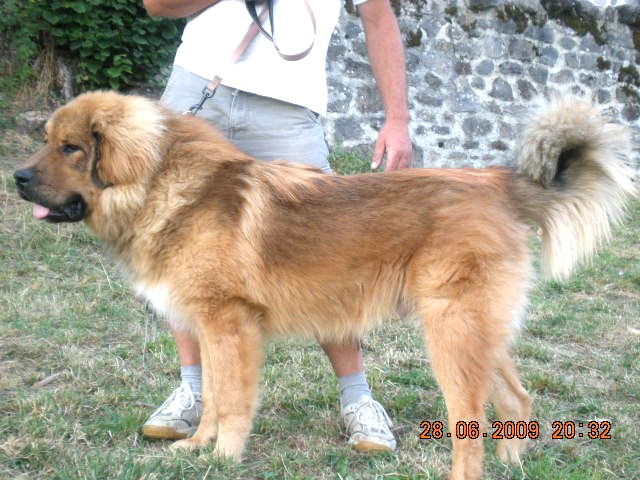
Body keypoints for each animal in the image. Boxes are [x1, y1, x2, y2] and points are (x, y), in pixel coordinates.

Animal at [14, 91, 636, 480]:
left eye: (72, 148)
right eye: (47, 140)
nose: (17, 179)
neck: (164, 184)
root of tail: (494, 183)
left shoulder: (230, 327)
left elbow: (231, 402)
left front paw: (222, 459)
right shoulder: (210, 330)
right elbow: (211, 397)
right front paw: (195, 447)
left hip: (451, 336)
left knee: (473, 427)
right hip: (480, 336)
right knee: (518, 401)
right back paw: (516, 465)